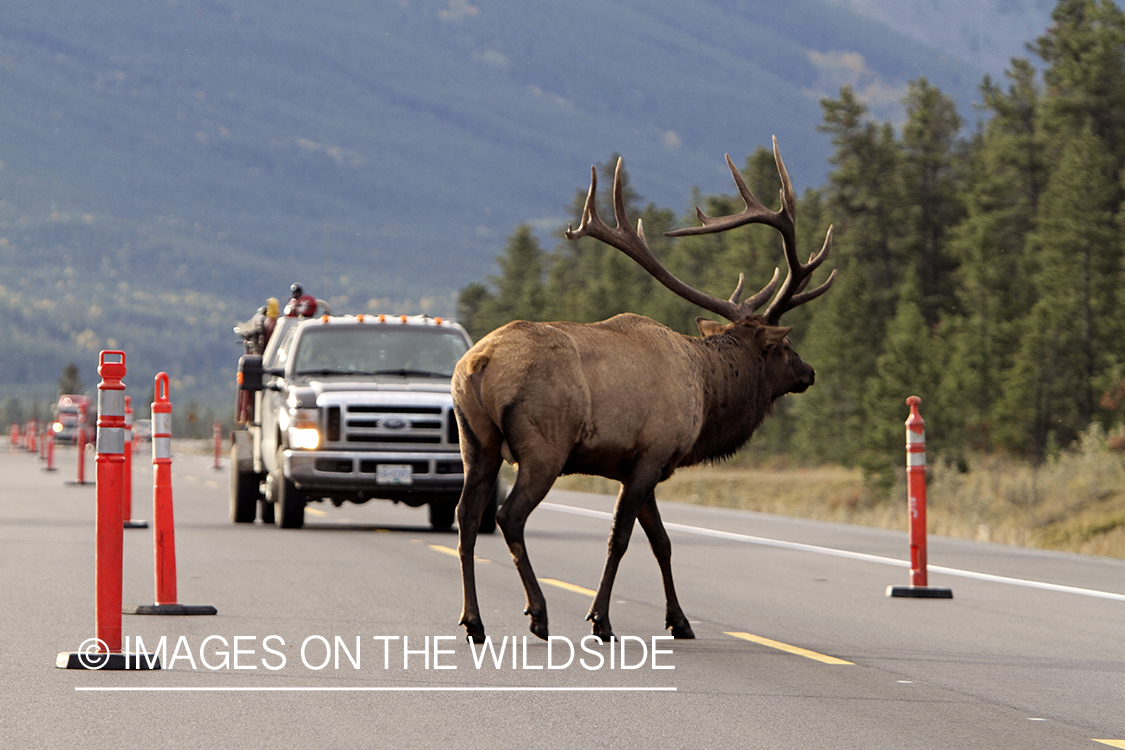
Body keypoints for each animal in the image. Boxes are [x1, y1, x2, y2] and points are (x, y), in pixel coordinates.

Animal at [450, 137, 837, 643]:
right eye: (785, 346)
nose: (810, 371)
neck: (706, 393)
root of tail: (478, 363)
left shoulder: (642, 463)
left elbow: (663, 542)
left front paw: (680, 620)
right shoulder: (651, 455)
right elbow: (622, 539)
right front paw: (601, 619)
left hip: (475, 441)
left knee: (465, 518)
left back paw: (473, 621)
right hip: (543, 445)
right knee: (508, 516)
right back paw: (538, 613)